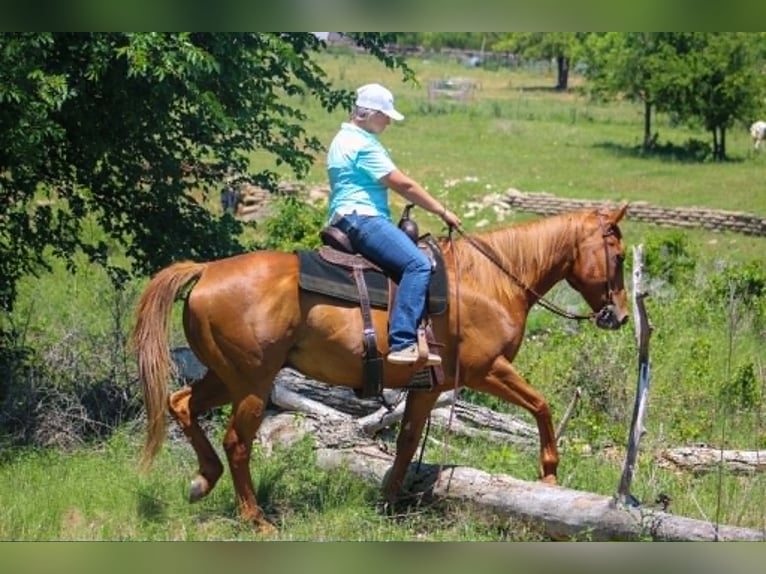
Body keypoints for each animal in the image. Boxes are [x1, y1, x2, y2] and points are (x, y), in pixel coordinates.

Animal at [132, 204, 630, 533]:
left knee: (181, 403)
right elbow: (542, 406)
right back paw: (256, 519)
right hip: (253, 382)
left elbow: (407, 442)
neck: (489, 282)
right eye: (621, 255)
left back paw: (203, 480)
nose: (621, 316)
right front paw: (549, 474)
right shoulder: (486, 370)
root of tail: (206, 271)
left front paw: (389, 502)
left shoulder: (428, 388)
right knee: (237, 442)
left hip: (226, 377)